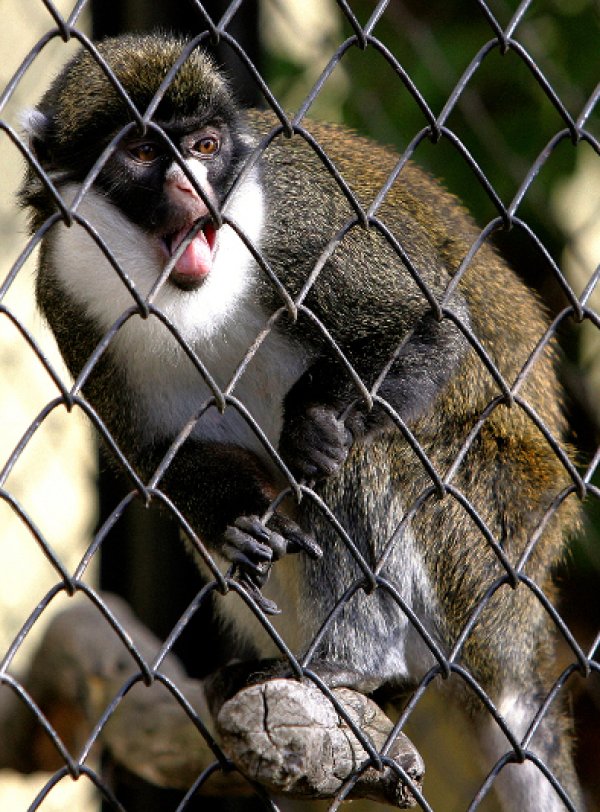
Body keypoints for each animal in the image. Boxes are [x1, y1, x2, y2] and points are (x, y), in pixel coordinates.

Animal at [21, 33, 584, 812]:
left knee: (373, 452)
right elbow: (155, 460)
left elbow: (434, 326)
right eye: (142, 151)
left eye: (204, 146)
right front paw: (236, 522)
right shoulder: (65, 291)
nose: (193, 188)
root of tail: (524, 637)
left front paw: (312, 428)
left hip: (485, 558)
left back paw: (353, 661)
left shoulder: (295, 220)